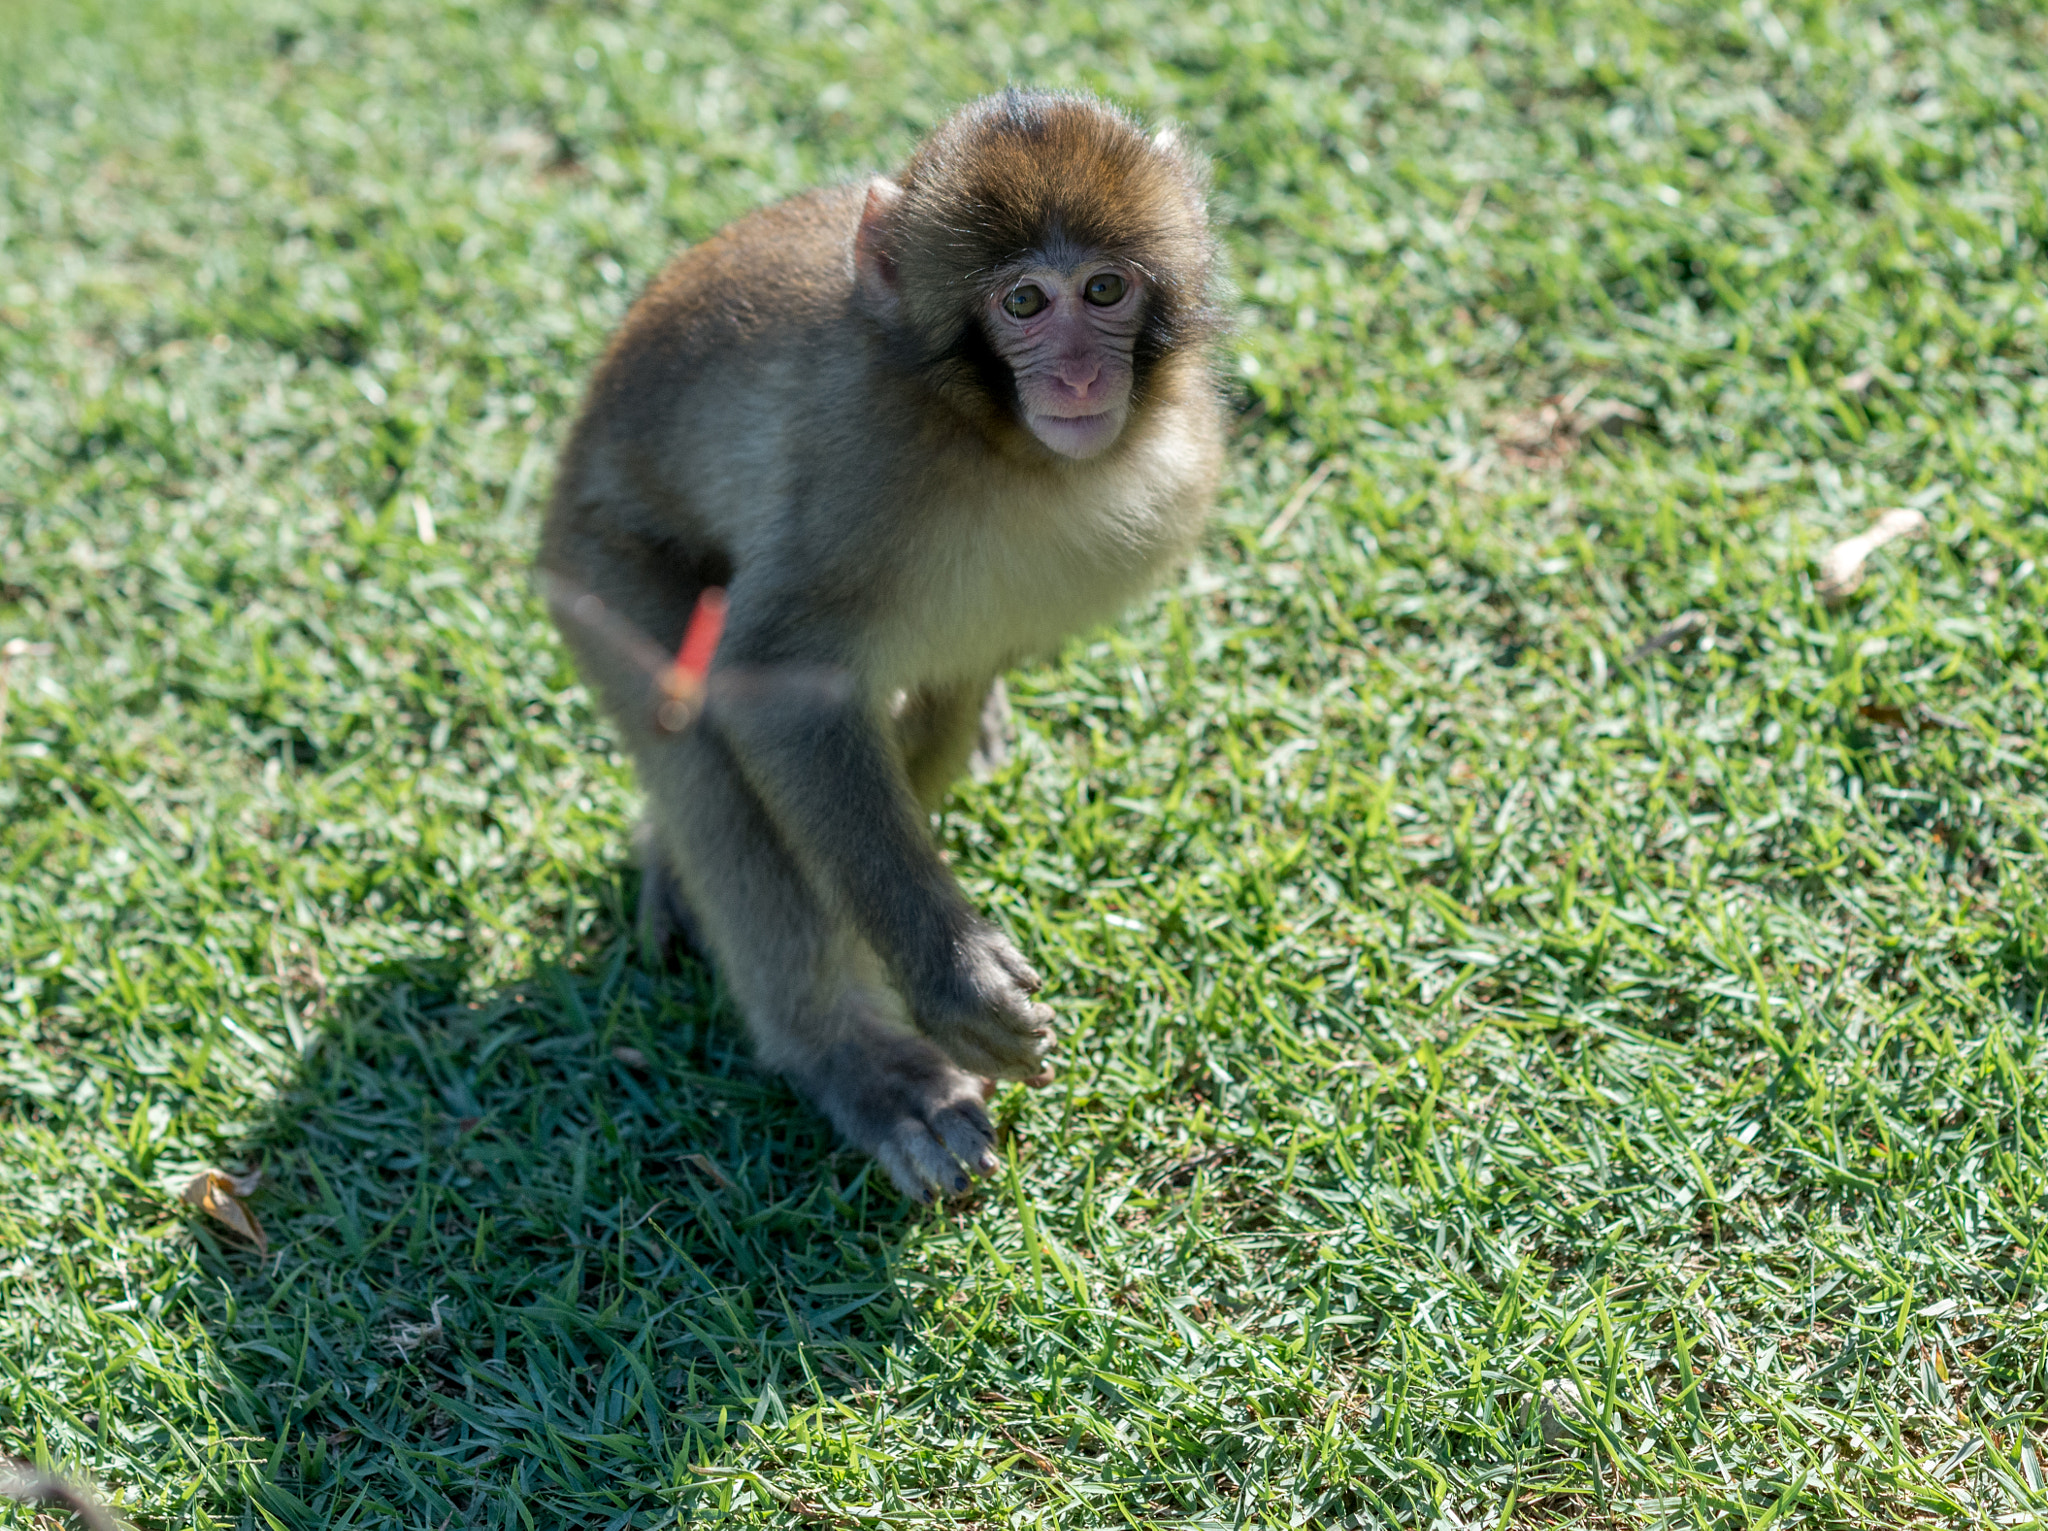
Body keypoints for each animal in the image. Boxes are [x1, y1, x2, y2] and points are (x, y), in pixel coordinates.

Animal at [536, 89, 1220, 1203]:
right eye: (1023, 303)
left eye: (1105, 288)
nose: (1080, 373)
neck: (996, 442)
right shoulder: (862, 466)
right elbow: (777, 684)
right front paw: (948, 976)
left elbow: (946, 685)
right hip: (596, 568)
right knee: (707, 748)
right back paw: (855, 1058)